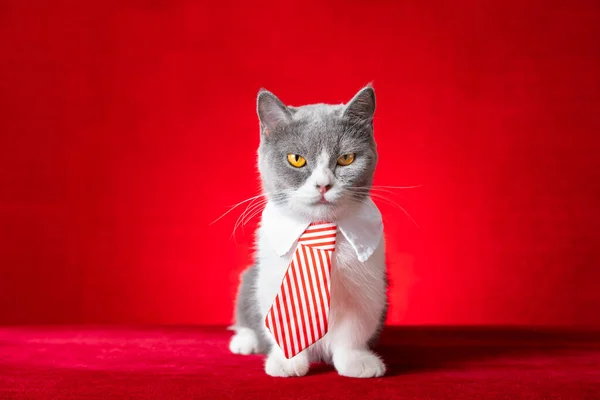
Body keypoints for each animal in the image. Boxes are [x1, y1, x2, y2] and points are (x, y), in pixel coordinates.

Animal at [227, 85, 386, 378]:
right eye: (296, 159)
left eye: (346, 158)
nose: (323, 184)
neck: (320, 228)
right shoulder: (273, 274)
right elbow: (281, 318)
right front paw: (287, 362)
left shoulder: (367, 281)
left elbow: (355, 325)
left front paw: (356, 361)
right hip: (249, 278)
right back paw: (244, 341)